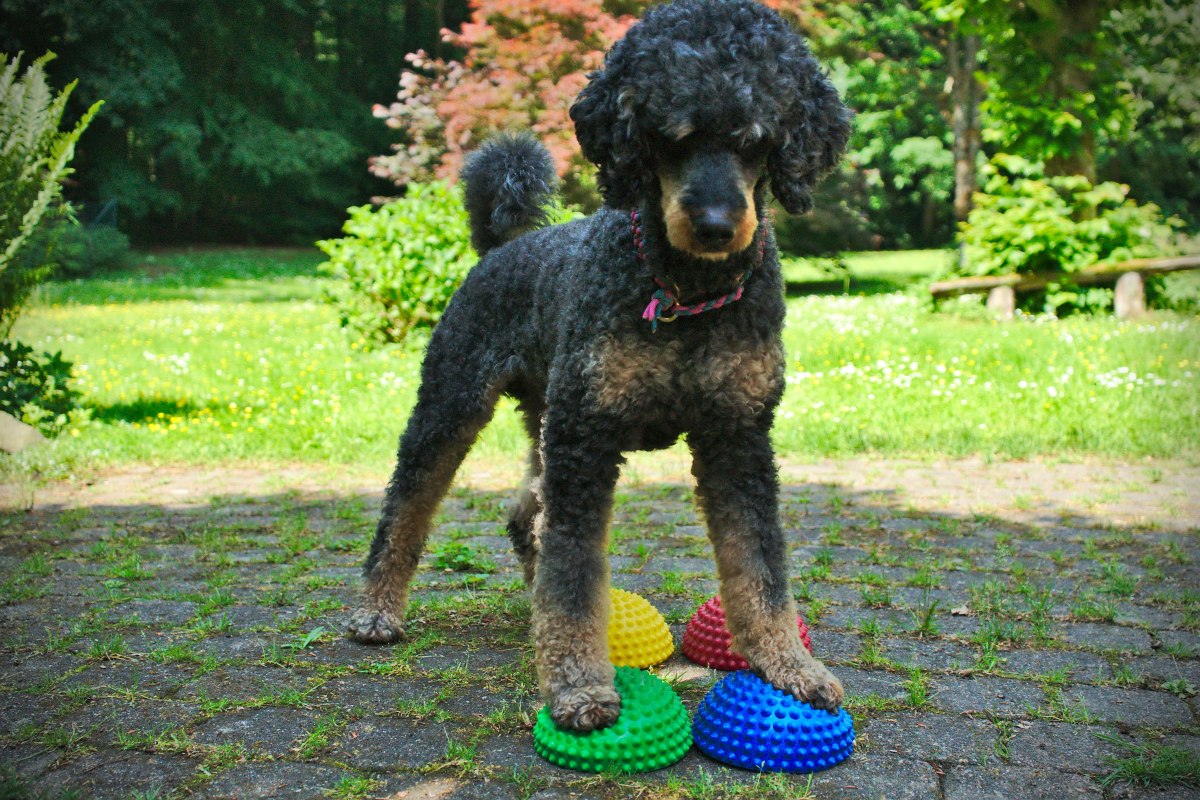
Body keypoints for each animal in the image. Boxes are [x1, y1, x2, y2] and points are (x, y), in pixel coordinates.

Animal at [348, 0, 852, 732]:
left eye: (758, 139)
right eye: (669, 136)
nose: (715, 225)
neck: (685, 295)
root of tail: (505, 245)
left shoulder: (738, 438)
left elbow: (760, 564)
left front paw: (788, 664)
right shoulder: (586, 441)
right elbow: (577, 572)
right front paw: (579, 682)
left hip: (544, 420)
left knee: (527, 514)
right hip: (452, 406)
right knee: (408, 506)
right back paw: (379, 608)